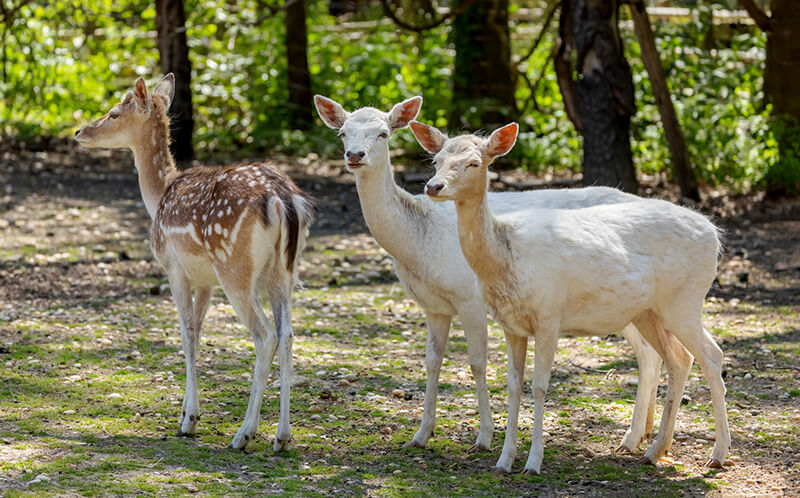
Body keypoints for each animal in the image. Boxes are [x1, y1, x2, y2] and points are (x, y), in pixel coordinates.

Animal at [74, 74, 312, 452]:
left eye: (114, 113)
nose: (80, 131)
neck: (159, 197)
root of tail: (283, 199)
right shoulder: (205, 281)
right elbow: (198, 333)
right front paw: (188, 412)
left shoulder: (174, 268)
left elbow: (185, 334)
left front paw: (189, 421)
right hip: (284, 272)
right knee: (287, 334)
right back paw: (282, 437)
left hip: (235, 269)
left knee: (264, 335)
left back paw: (243, 435)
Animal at [312, 94, 664, 456]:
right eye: (342, 132)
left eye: (383, 133)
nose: (355, 155)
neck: (417, 248)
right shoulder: (433, 306)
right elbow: (432, 361)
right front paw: (421, 434)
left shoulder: (470, 297)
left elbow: (477, 362)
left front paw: (484, 436)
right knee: (651, 353)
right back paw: (642, 434)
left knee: (650, 355)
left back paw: (634, 437)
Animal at [412, 120, 732, 474]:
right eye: (436, 160)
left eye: (474, 163)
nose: (434, 186)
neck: (504, 260)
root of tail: (714, 234)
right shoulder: (510, 324)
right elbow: (513, 385)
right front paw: (504, 461)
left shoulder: (549, 315)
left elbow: (539, 386)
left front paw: (533, 463)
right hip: (650, 312)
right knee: (680, 359)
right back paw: (654, 450)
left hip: (685, 299)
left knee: (711, 355)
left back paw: (717, 454)